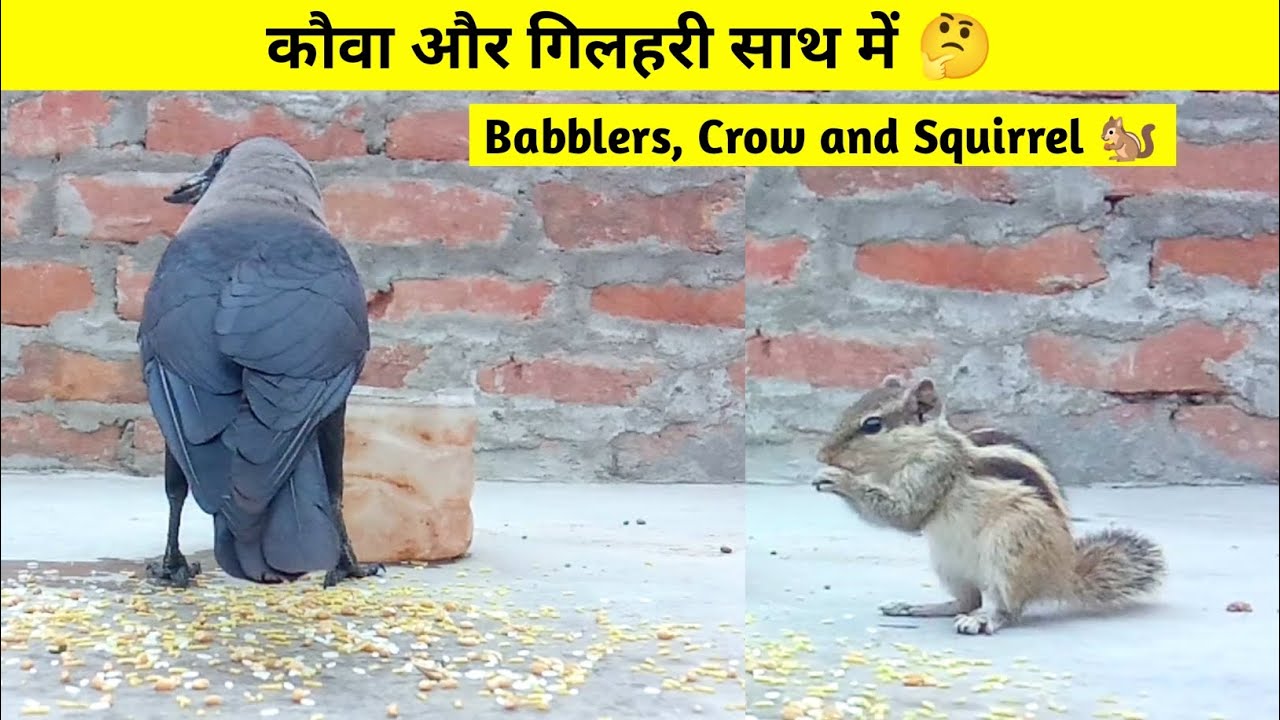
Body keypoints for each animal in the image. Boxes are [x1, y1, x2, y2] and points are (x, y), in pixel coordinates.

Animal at [811, 375, 1166, 635]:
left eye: (872, 425)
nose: (823, 455)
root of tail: (1061, 573)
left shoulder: (935, 472)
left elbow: (906, 515)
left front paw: (837, 479)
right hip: (949, 564)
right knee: (966, 600)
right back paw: (918, 607)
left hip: (1010, 549)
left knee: (1007, 609)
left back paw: (984, 620)